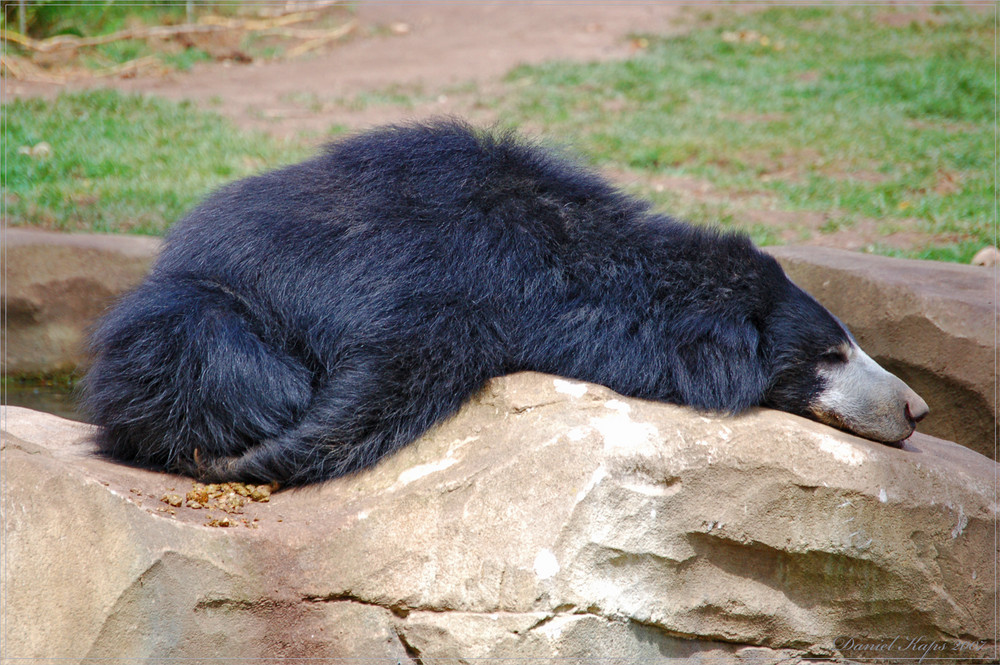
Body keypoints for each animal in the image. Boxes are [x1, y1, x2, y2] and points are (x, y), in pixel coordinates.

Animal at [82, 119, 924, 486]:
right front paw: (255, 458)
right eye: (830, 354)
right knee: (217, 358)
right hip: (196, 318)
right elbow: (388, 377)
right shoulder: (447, 290)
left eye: (853, 343)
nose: (915, 409)